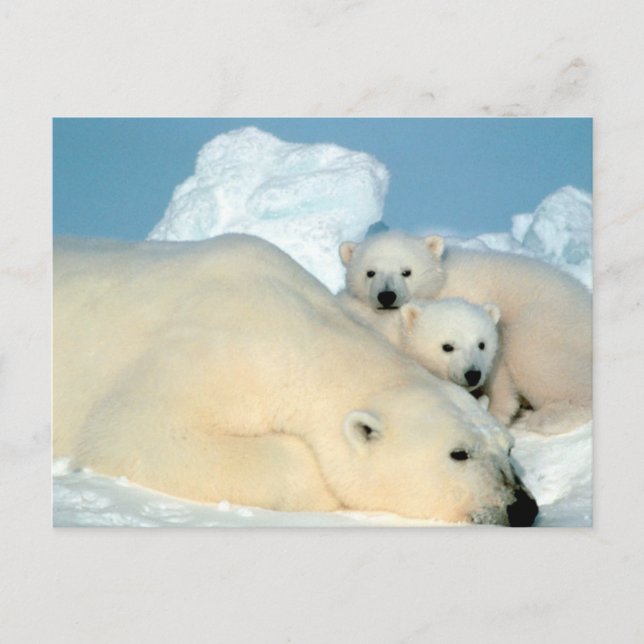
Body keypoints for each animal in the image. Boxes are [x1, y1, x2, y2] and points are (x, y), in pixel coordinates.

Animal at [338, 231, 592, 434]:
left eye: (406, 272)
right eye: (370, 272)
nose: (386, 296)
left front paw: (496, 410)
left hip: (548, 322)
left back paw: (550, 417)